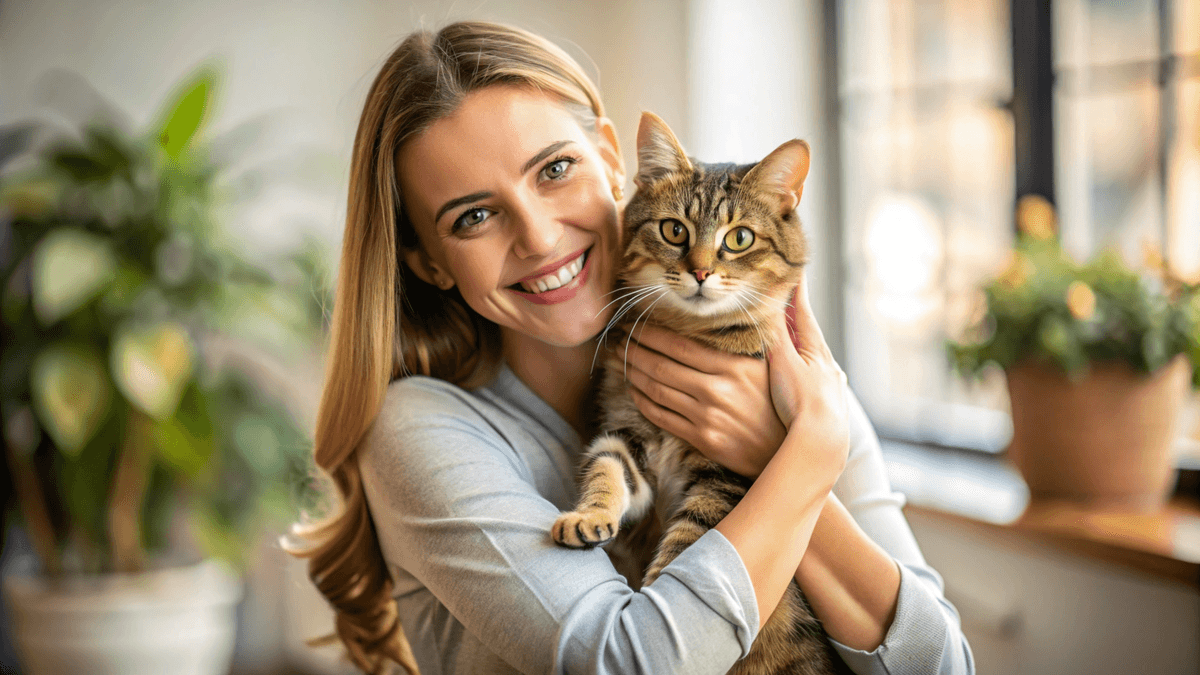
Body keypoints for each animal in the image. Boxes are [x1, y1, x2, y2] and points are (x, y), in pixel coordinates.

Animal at [549, 111, 840, 672]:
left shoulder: (726, 477)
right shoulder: (628, 434)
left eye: (740, 237)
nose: (701, 271)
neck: (690, 330)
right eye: (674, 229)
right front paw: (589, 516)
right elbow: (605, 472)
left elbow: (685, 551)